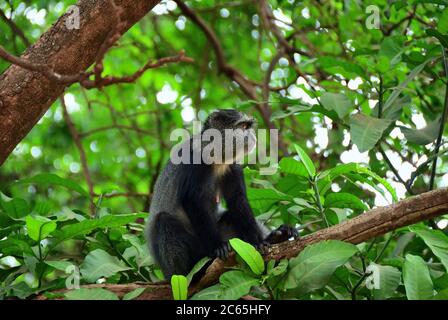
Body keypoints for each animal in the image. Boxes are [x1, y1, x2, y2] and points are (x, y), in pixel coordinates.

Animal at [146, 109, 298, 278]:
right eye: (243, 126)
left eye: (248, 126)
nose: (252, 136)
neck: (216, 159)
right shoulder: (193, 162)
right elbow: (193, 202)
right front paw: (217, 247)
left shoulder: (232, 167)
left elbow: (238, 201)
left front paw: (260, 242)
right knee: (163, 220)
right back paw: (194, 272)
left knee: (231, 216)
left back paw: (277, 237)